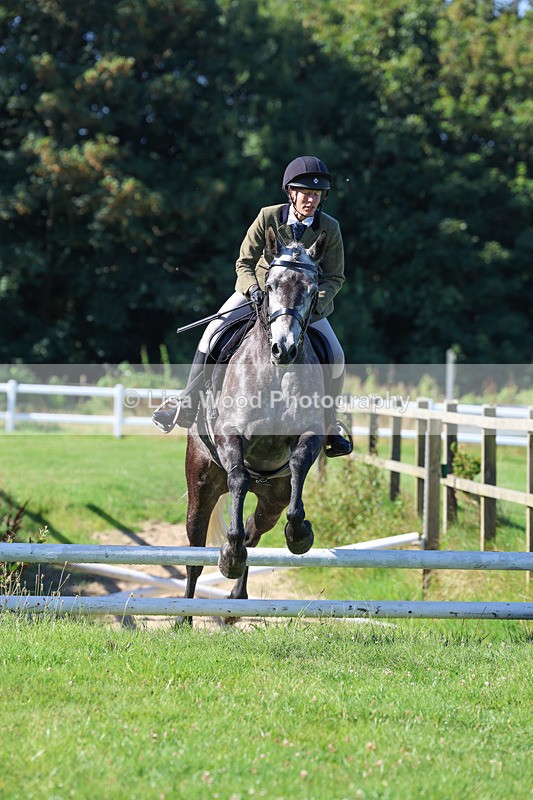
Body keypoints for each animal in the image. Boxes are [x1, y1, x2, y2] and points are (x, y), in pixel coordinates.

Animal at [182, 226, 328, 624]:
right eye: (272, 284)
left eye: (312, 289)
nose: (284, 349)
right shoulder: (231, 436)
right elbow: (238, 479)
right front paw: (230, 556)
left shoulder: (309, 435)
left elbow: (298, 464)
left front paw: (299, 534)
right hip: (200, 484)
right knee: (193, 555)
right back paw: (183, 616)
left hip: (271, 497)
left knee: (253, 531)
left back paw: (236, 599)